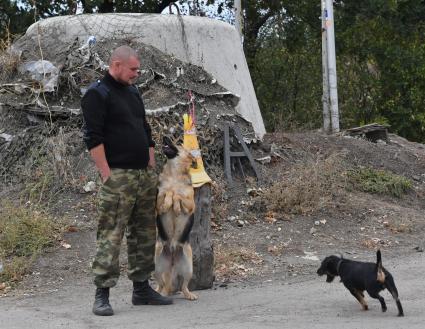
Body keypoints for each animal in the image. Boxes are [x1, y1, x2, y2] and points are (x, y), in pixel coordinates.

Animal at [154, 136, 197, 300]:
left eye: (179, 143)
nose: (164, 136)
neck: (174, 176)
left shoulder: (191, 205)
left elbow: (178, 195)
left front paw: (177, 207)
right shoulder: (157, 202)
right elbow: (166, 193)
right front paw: (169, 202)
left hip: (189, 268)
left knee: (184, 286)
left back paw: (189, 295)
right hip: (156, 266)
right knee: (161, 285)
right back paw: (160, 293)